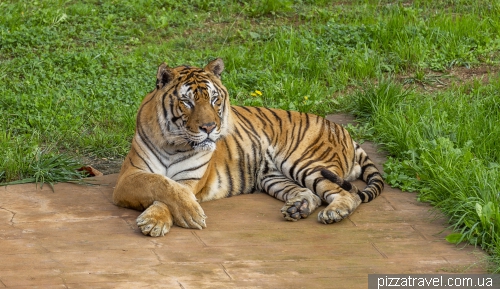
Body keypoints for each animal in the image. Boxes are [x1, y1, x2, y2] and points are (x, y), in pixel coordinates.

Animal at [113, 58, 384, 236]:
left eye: (214, 99)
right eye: (187, 102)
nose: (209, 127)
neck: (174, 143)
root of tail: (342, 129)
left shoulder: (190, 179)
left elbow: (172, 192)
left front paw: (163, 219)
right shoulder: (129, 176)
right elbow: (160, 184)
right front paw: (159, 220)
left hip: (306, 163)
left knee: (348, 195)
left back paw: (333, 213)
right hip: (273, 177)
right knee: (312, 194)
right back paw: (298, 208)